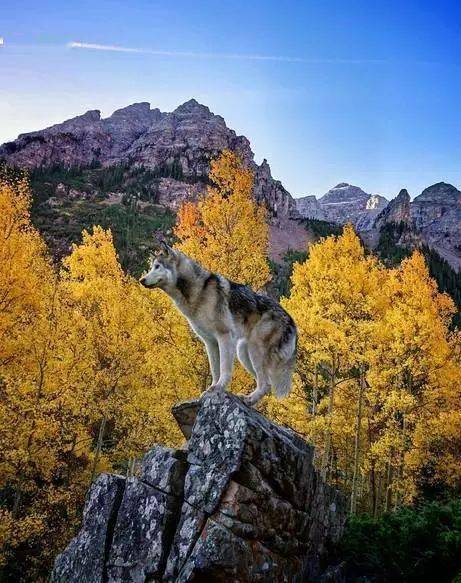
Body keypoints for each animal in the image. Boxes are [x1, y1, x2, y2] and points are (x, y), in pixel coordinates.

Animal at [138, 242, 296, 406]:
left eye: (157, 266)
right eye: (151, 267)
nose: (141, 280)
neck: (199, 292)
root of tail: (291, 321)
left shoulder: (224, 336)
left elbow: (224, 368)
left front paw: (219, 388)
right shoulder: (210, 342)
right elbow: (215, 369)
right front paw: (211, 389)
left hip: (254, 350)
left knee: (265, 383)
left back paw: (249, 399)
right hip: (243, 351)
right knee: (265, 384)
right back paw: (248, 400)